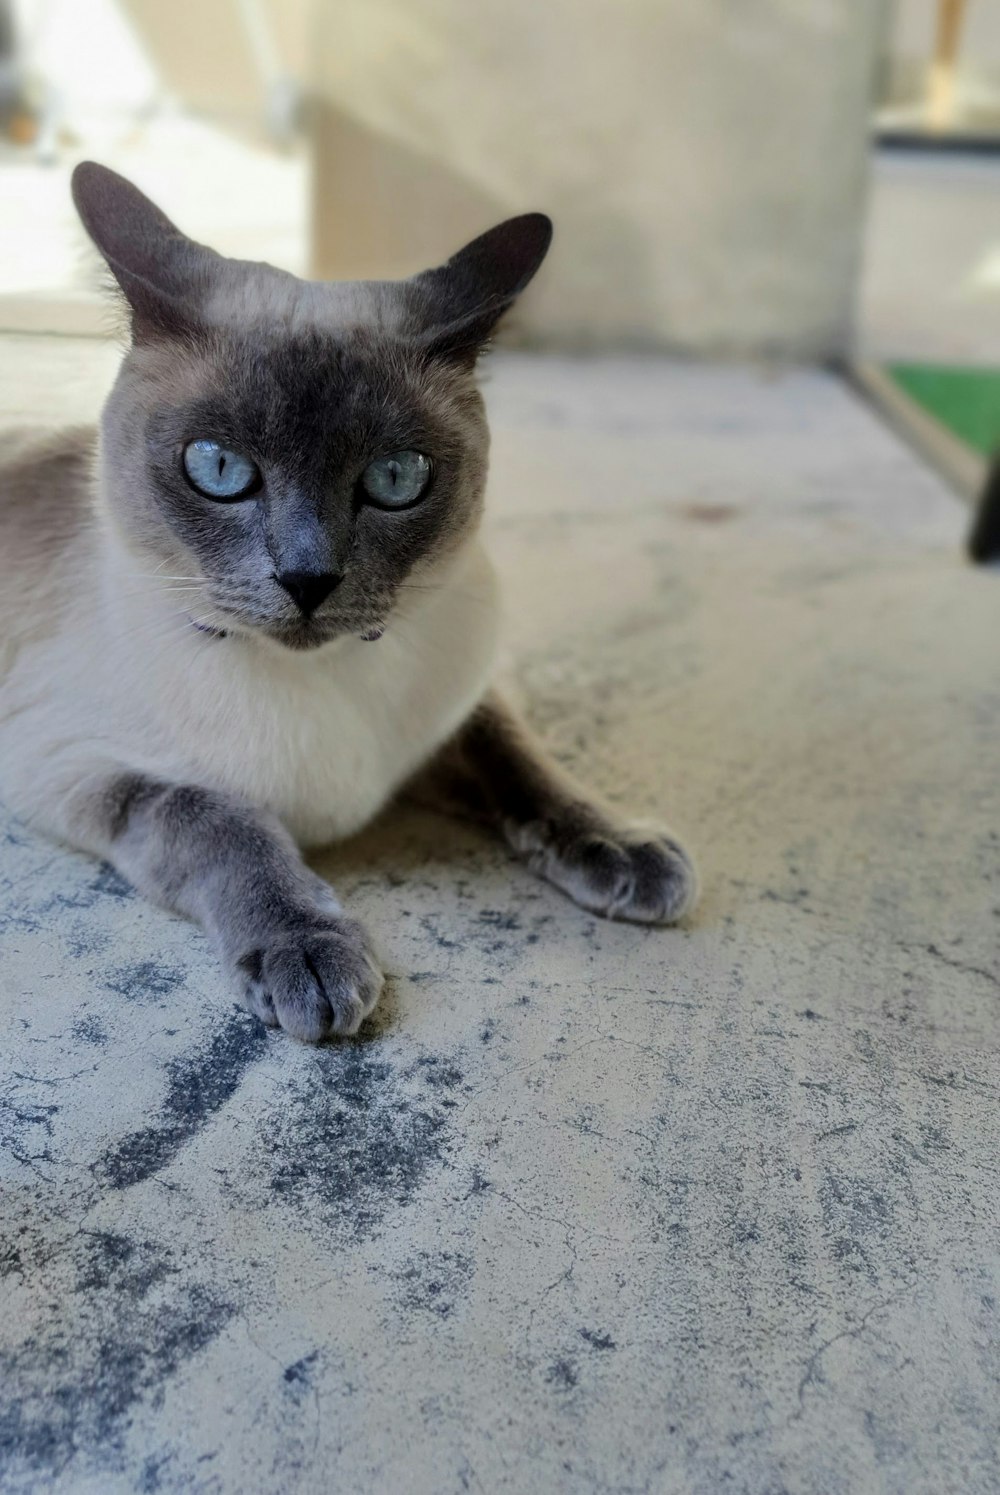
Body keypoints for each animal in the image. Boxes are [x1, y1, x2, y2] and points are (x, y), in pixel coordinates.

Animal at [0, 160, 693, 1028]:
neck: (315, 680)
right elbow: (221, 821)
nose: (308, 578)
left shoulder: (462, 704)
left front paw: (625, 849)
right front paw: (310, 951)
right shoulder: (67, 763)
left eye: (396, 478)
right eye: (218, 468)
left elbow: (523, 760)